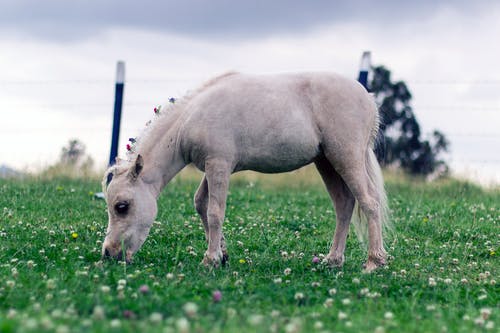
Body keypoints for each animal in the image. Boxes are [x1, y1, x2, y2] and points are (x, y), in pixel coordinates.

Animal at [102, 71, 390, 272]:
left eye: (122, 206)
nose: (109, 253)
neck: (190, 119)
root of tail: (368, 97)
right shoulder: (212, 167)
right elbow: (201, 204)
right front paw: (222, 255)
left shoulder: (219, 165)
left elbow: (215, 212)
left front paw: (210, 260)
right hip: (326, 163)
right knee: (344, 205)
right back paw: (333, 260)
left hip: (346, 158)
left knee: (369, 202)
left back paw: (374, 262)